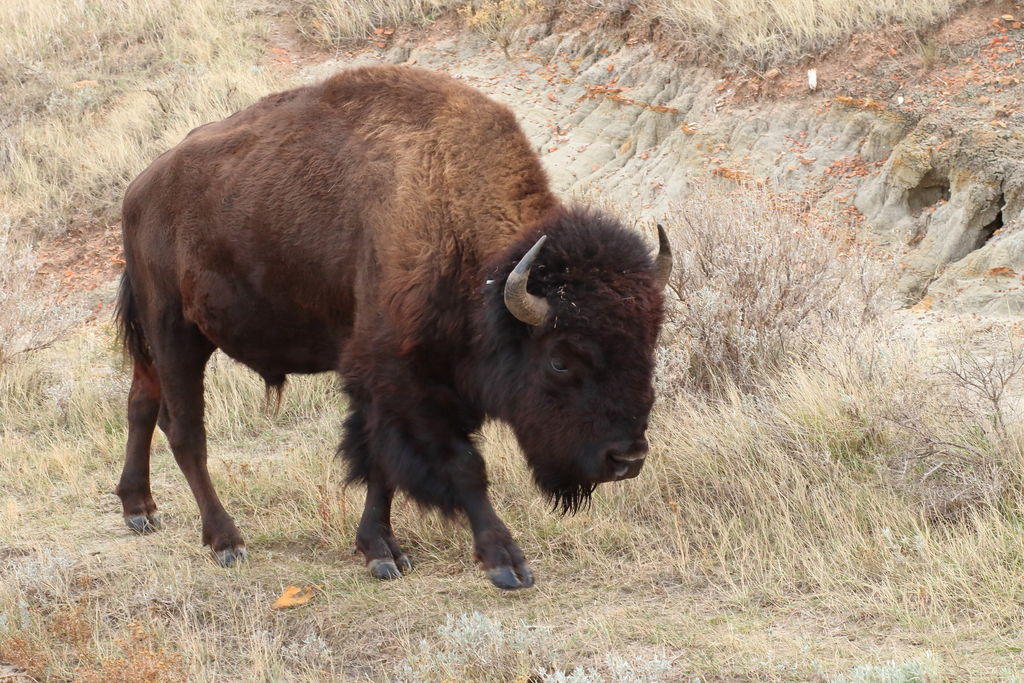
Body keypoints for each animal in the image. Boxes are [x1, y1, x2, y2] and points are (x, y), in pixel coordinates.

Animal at [114, 65, 671, 589]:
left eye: (649, 344)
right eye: (559, 359)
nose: (627, 458)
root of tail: (138, 189)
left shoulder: (393, 389)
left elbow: (379, 464)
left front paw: (381, 551)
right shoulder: (399, 379)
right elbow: (462, 466)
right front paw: (506, 562)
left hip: (168, 342)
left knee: (142, 402)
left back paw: (139, 509)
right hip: (173, 330)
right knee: (185, 431)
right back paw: (226, 541)